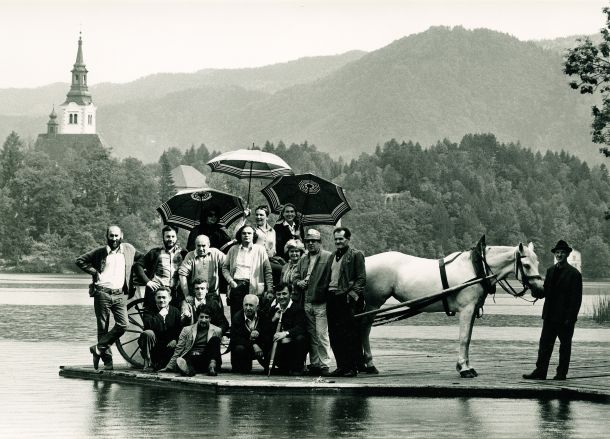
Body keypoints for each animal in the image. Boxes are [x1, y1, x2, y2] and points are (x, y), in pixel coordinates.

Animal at [356, 242, 540, 380]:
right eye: (526, 265)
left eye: (537, 263)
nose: (540, 289)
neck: (476, 269)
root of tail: (366, 260)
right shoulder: (466, 309)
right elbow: (464, 338)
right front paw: (464, 369)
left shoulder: (472, 310)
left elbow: (468, 338)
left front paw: (466, 366)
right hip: (373, 303)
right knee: (364, 328)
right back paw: (369, 364)